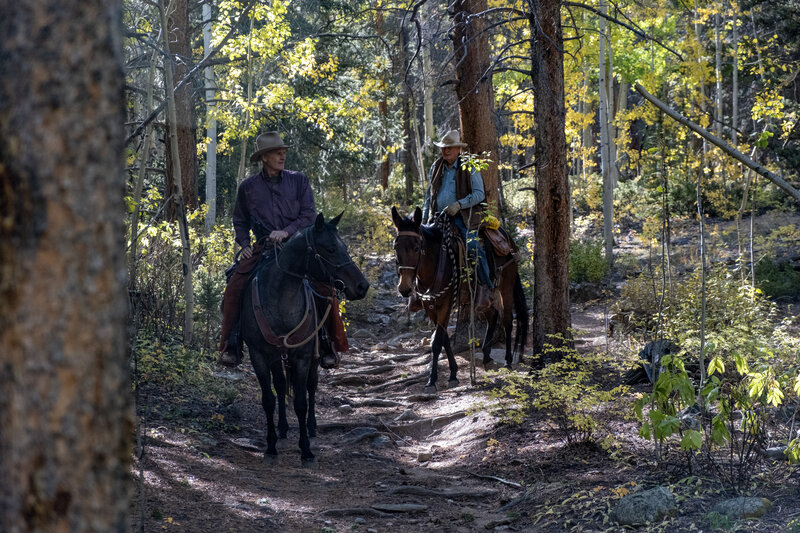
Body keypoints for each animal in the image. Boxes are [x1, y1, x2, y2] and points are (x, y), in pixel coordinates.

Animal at [239, 212, 370, 462]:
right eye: (330, 249)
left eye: (345, 247)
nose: (362, 286)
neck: (280, 299)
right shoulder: (259, 354)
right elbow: (269, 399)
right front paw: (271, 446)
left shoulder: (302, 355)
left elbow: (301, 402)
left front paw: (306, 449)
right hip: (277, 356)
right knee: (281, 386)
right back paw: (282, 428)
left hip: (314, 357)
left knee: (311, 386)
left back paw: (311, 426)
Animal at [390, 206, 528, 392]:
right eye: (395, 247)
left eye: (417, 247)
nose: (404, 289)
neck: (436, 264)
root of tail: (508, 239)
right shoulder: (430, 306)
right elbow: (444, 340)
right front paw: (453, 374)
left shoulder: (446, 305)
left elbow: (436, 343)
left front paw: (432, 380)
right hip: (481, 299)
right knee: (492, 316)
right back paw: (486, 356)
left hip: (506, 286)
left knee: (506, 321)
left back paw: (507, 360)